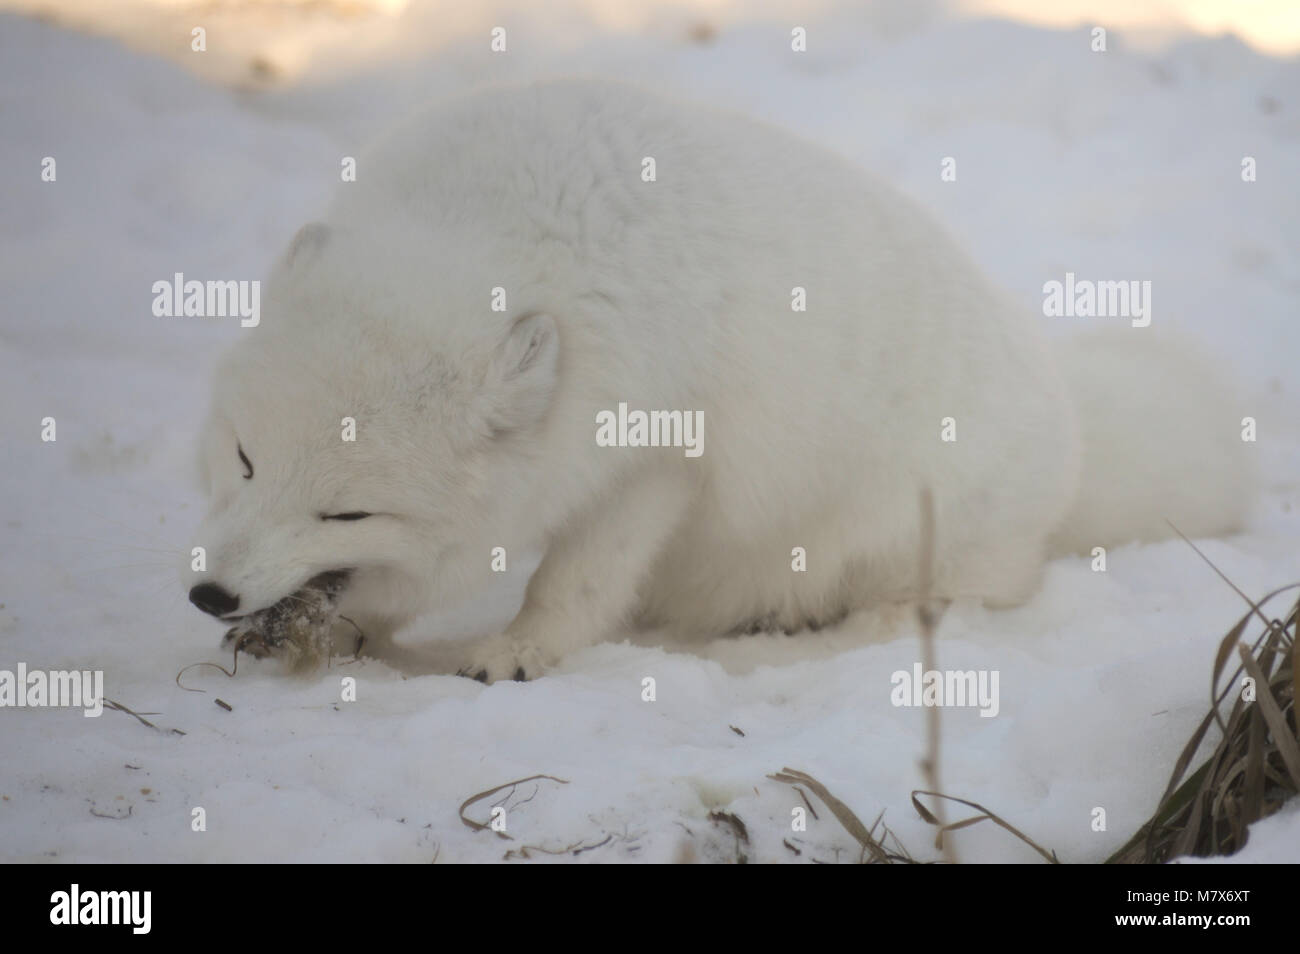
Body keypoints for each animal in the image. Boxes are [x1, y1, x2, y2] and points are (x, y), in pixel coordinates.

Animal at [183, 78, 1248, 686]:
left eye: (347, 513)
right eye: (244, 458)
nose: (210, 594)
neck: (502, 228)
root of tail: (1073, 428)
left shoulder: (653, 459)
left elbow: (576, 581)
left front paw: (516, 653)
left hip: (907, 537)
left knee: (930, 612)